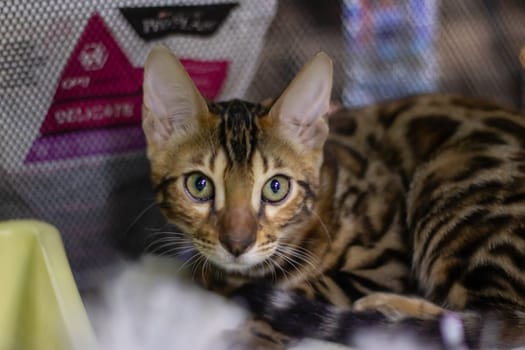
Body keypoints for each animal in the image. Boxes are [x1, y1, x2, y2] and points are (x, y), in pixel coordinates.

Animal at [140, 45, 524, 348]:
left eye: (275, 188)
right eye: (199, 186)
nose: (237, 244)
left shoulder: (384, 259)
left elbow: (310, 289)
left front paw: (251, 335)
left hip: (447, 184)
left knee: (495, 322)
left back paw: (387, 310)